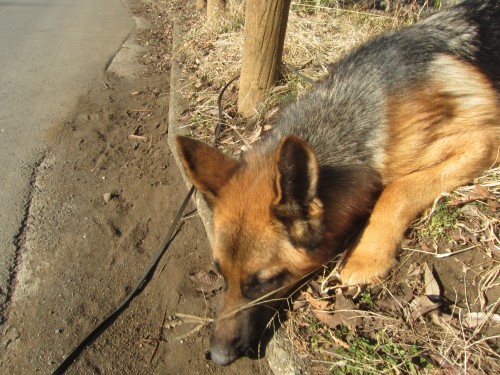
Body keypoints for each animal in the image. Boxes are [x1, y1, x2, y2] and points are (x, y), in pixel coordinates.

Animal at [177, 0, 500, 368]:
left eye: (265, 282)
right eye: (220, 273)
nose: (217, 356)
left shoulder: (484, 141)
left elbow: (397, 189)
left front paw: (365, 255)